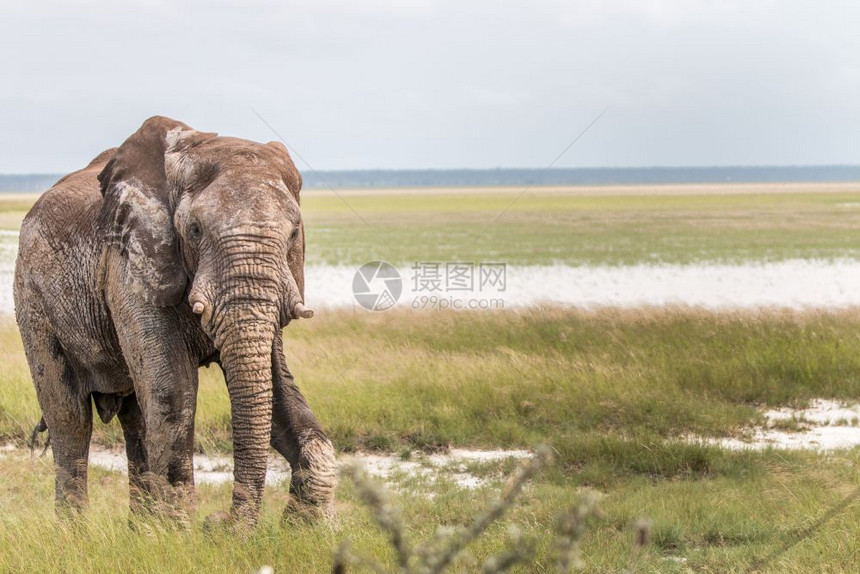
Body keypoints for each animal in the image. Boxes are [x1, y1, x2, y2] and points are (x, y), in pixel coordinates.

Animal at [14, 117, 336, 528]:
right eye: (195, 230)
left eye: (294, 232)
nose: (219, 522)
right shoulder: (130, 265)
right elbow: (174, 390)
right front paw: (180, 534)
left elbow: (279, 386)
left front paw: (306, 527)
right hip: (32, 299)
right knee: (69, 416)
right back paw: (76, 533)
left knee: (135, 416)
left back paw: (139, 531)